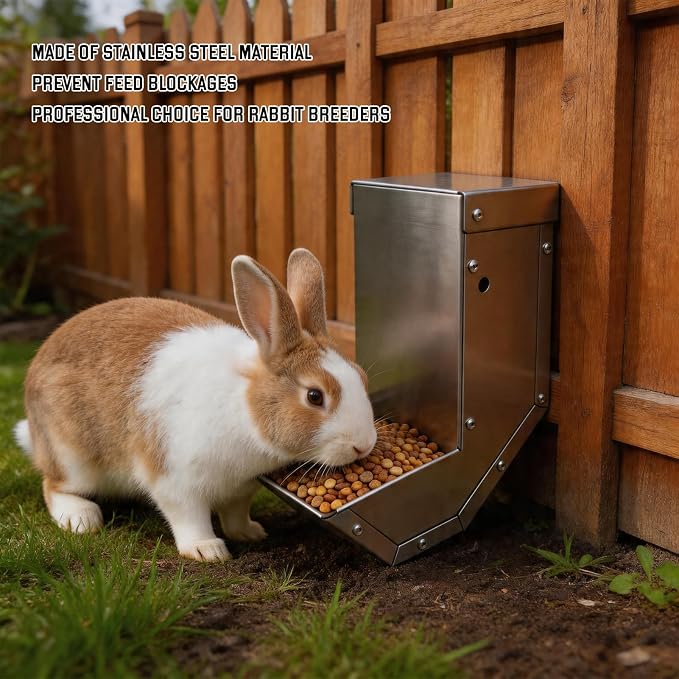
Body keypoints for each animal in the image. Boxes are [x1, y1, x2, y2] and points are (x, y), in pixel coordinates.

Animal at [13, 249, 377, 561]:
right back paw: (81, 518)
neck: (244, 409)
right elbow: (189, 517)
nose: (363, 445)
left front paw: (250, 533)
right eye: (315, 396)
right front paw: (207, 551)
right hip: (73, 457)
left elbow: (235, 513)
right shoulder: (175, 480)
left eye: (361, 376)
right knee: (53, 485)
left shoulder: (240, 488)